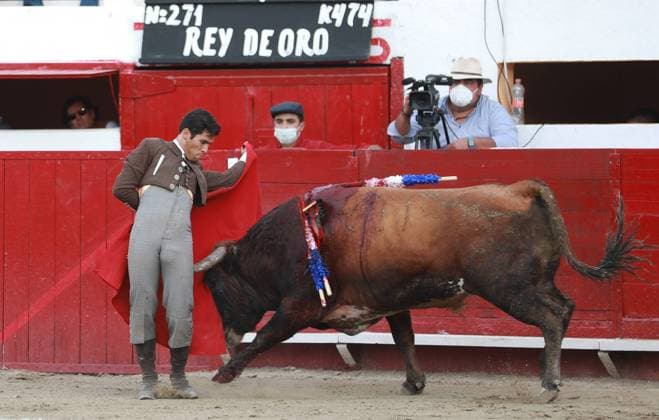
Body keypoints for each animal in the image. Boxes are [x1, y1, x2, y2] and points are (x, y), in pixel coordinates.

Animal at [194, 179, 645, 402]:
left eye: (216, 286)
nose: (227, 338)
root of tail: (522, 188)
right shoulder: (393, 300)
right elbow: (405, 338)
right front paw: (414, 383)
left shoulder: (300, 306)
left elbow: (266, 336)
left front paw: (225, 372)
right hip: (533, 283)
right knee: (565, 308)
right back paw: (549, 377)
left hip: (508, 288)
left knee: (551, 317)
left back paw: (549, 385)